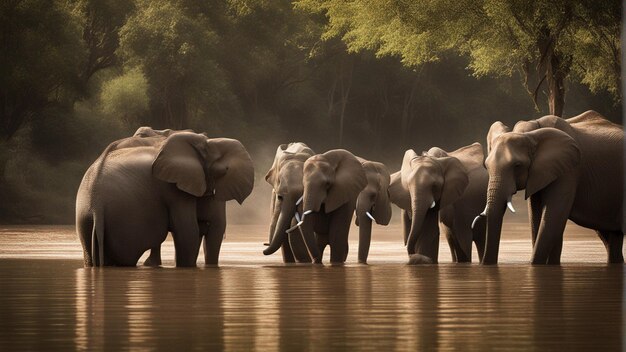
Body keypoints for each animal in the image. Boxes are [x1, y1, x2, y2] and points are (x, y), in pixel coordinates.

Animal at [76, 130, 254, 266]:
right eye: (220, 171)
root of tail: (97, 206)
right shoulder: (174, 190)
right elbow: (188, 232)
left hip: (86, 221)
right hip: (125, 222)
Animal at [478, 110, 620, 264]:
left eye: (517, 165)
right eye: (486, 166)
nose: (485, 264)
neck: (530, 133)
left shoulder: (568, 171)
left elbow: (553, 217)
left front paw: (534, 265)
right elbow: (536, 218)